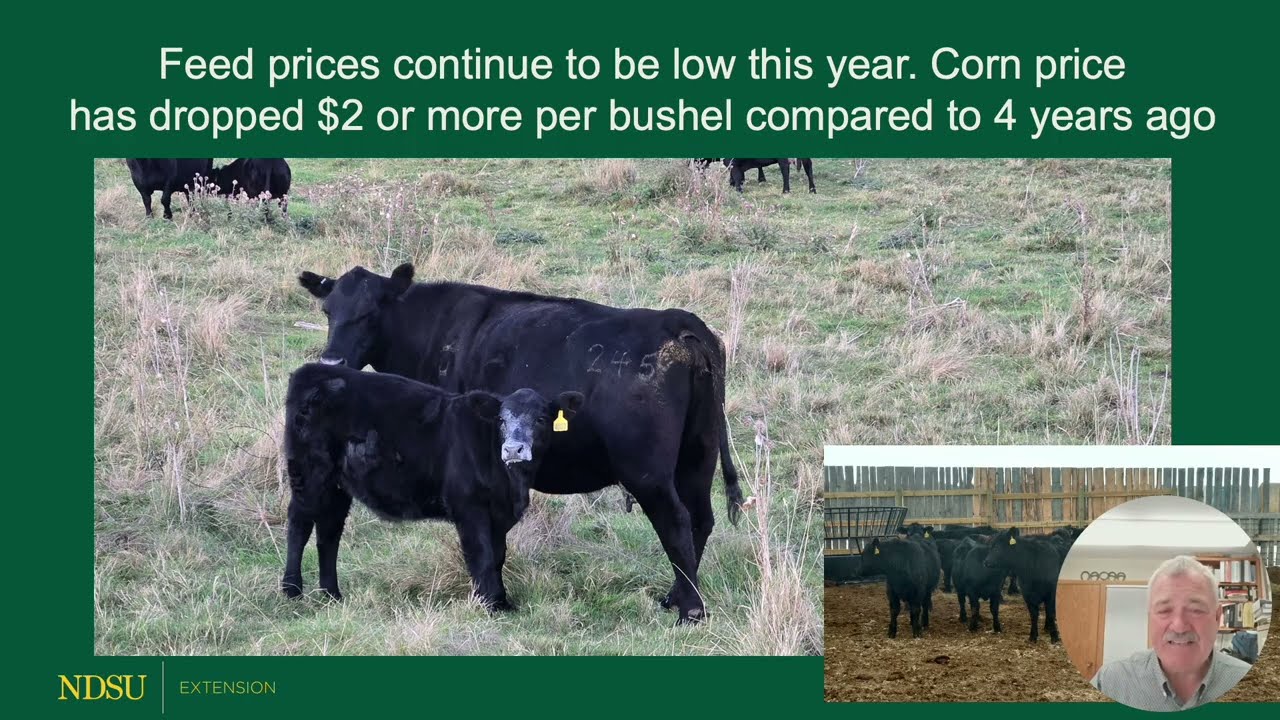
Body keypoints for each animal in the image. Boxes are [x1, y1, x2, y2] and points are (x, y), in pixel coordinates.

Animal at [281, 361, 584, 610]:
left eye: (541, 419)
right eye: (501, 419)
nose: (512, 449)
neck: (512, 484)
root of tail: (313, 371)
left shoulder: (499, 514)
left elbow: (498, 556)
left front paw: (498, 599)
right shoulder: (468, 507)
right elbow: (482, 554)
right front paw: (492, 604)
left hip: (337, 485)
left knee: (328, 533)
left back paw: (332, 594)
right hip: (309, 473)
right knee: (299, 524)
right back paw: (292, 589)